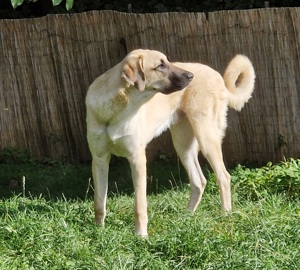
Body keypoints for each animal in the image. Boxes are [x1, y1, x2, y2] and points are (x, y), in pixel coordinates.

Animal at [86, 48, 255, 236]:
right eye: (160, 65)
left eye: (167, 61)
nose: (191, 76)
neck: (116, 110)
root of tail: (218, 76)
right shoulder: (99, 160)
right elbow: (99, 202)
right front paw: (98, 231)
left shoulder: (137, 160)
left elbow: (140, 205)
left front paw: (141, 235)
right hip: (183, 146)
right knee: (199, 181)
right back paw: (186, 217)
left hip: (206, 138)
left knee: (223, 177)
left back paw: (225, 215)